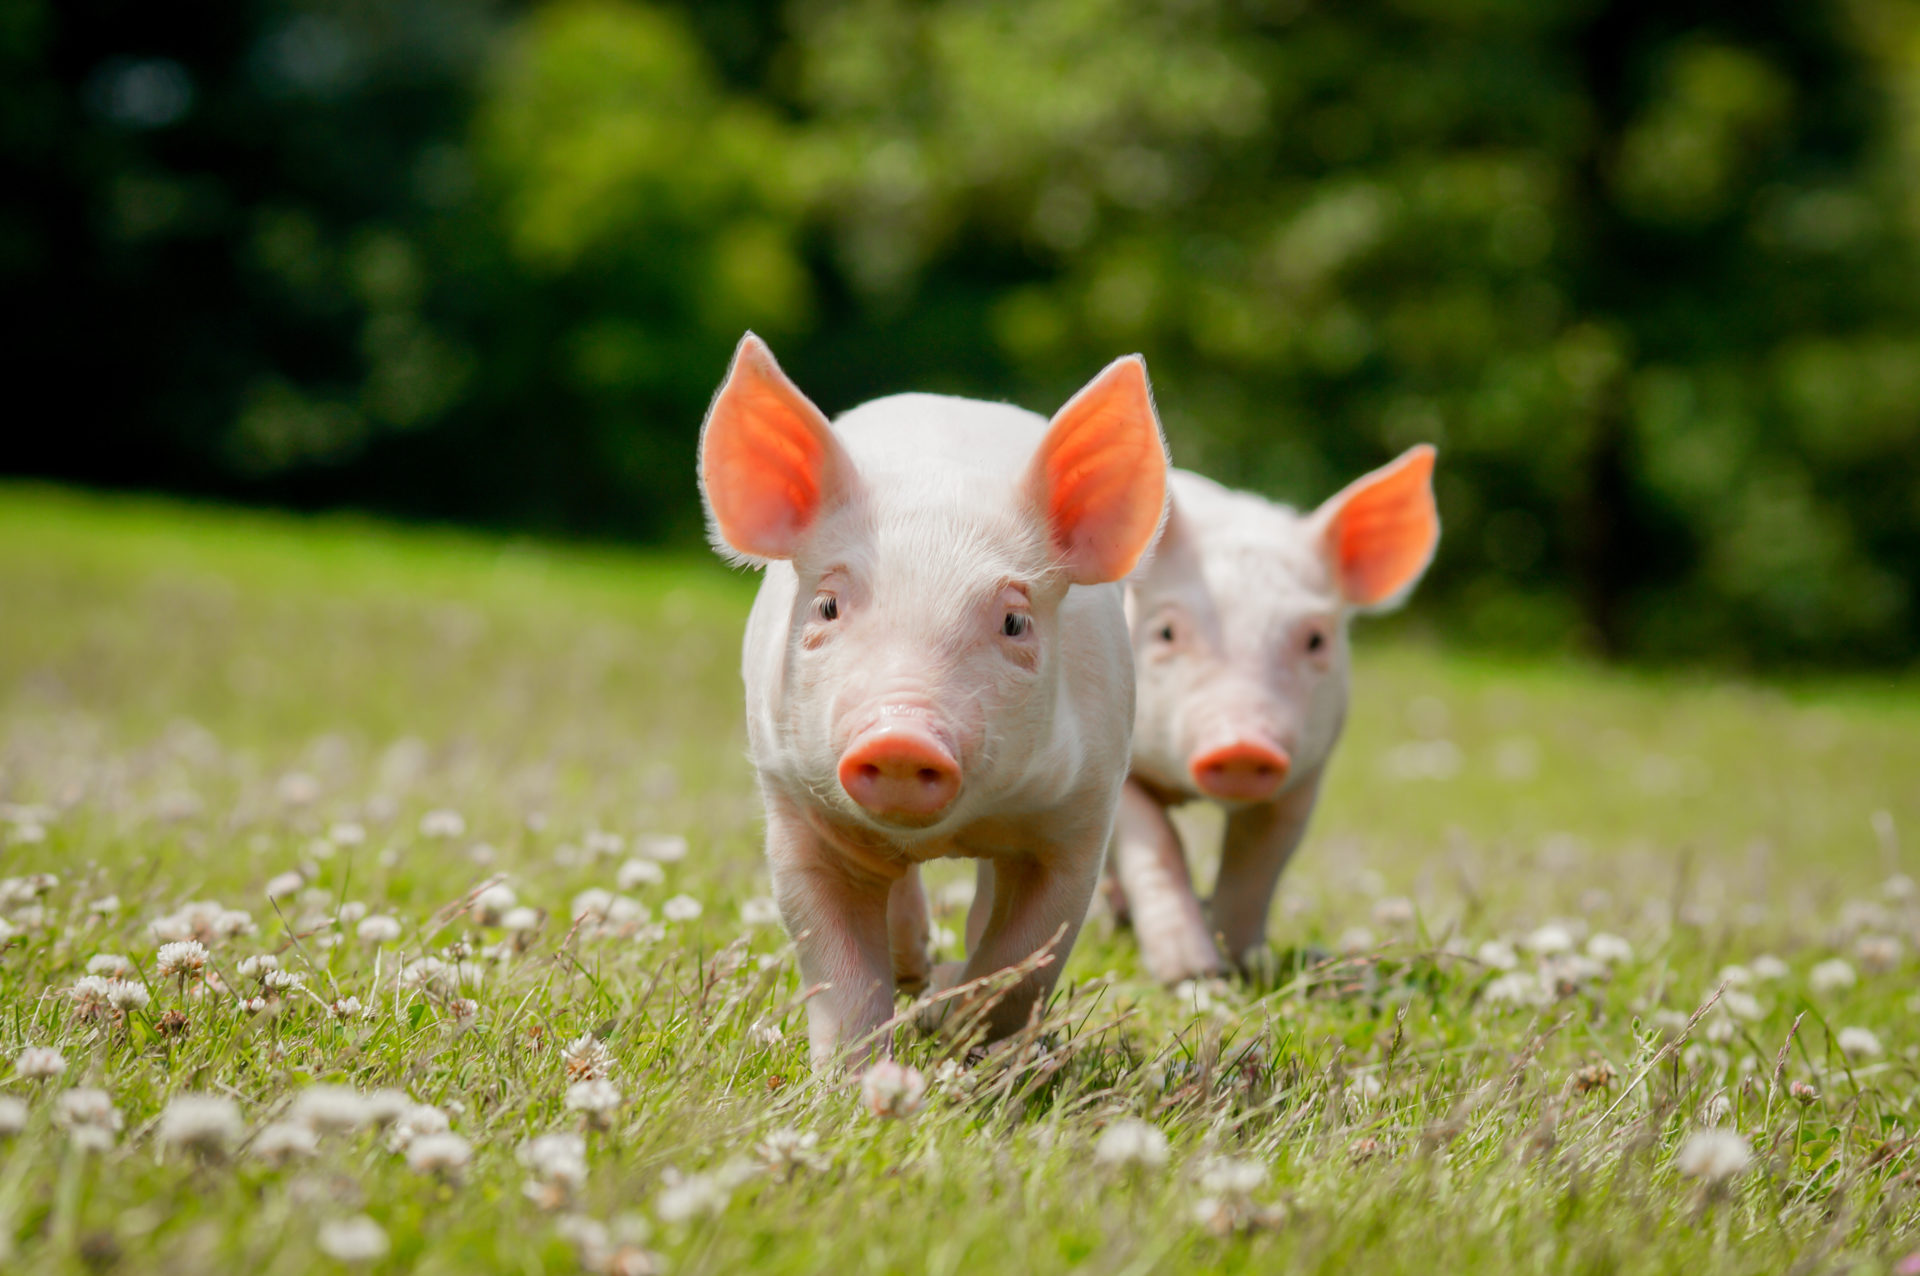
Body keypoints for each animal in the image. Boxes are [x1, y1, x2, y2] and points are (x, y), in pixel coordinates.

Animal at [697, 333, 1170, 1068]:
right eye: (828, 606)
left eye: (1014, 622)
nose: (900, 736)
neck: (949, 832)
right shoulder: (795, 806)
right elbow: (840, 976)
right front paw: (852, 1080)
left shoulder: (1081, 814)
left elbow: (1025, 957)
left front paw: (959, 1031)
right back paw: (914, 967)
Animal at [1106, 446, 1439, 984]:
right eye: (1166, 633)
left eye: (1316, 640)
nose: (1243, 745)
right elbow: (1155, 844)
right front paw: (1191, 974)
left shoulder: (1304, 778)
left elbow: (1257, 862)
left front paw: (1246, 967)